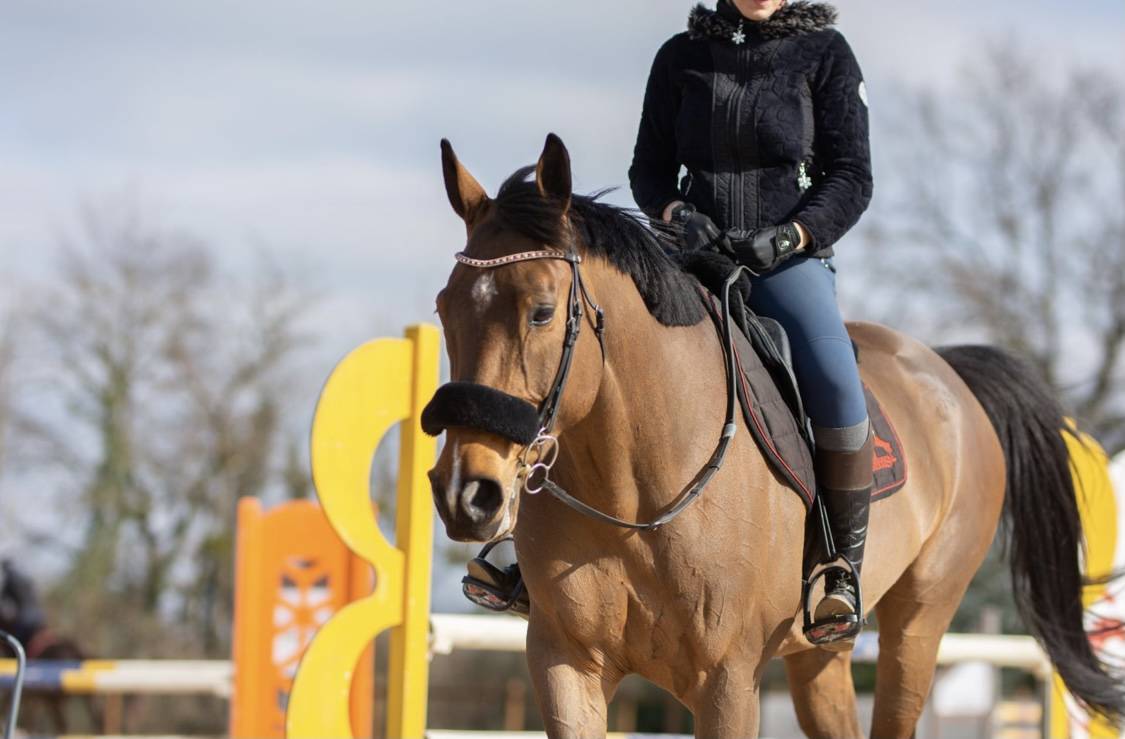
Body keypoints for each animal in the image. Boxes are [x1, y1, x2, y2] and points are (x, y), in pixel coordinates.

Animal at [423, 133, 1125, 737]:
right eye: (442, 308)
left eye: (542, 312)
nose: (467, 492)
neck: (634, 497)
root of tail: (948, 371)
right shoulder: (565, 665)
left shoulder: (727, 682)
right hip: (819, 653)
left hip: (918, 627)